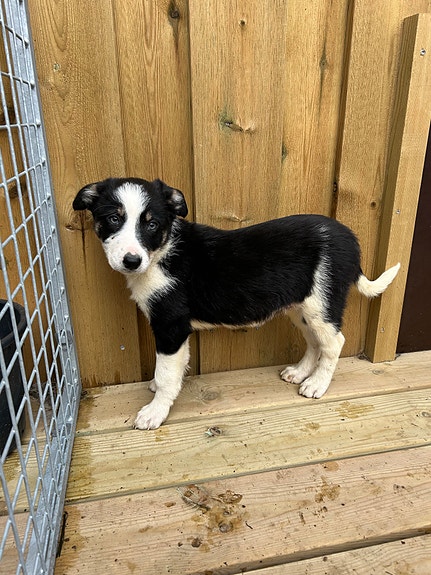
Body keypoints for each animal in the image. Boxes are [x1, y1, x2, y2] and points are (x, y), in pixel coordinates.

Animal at [73, 177, 400, 430]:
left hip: (321, 302)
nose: (131, 261)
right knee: (314, 341)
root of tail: (350, 240)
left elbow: (166, 372)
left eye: (152, 224)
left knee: (333, 343)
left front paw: (155, 411)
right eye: (114, 219)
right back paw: (299, 372)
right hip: (301, 307)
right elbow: (173, 368)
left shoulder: (171, 325)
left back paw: (316, 384)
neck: (161, 253)